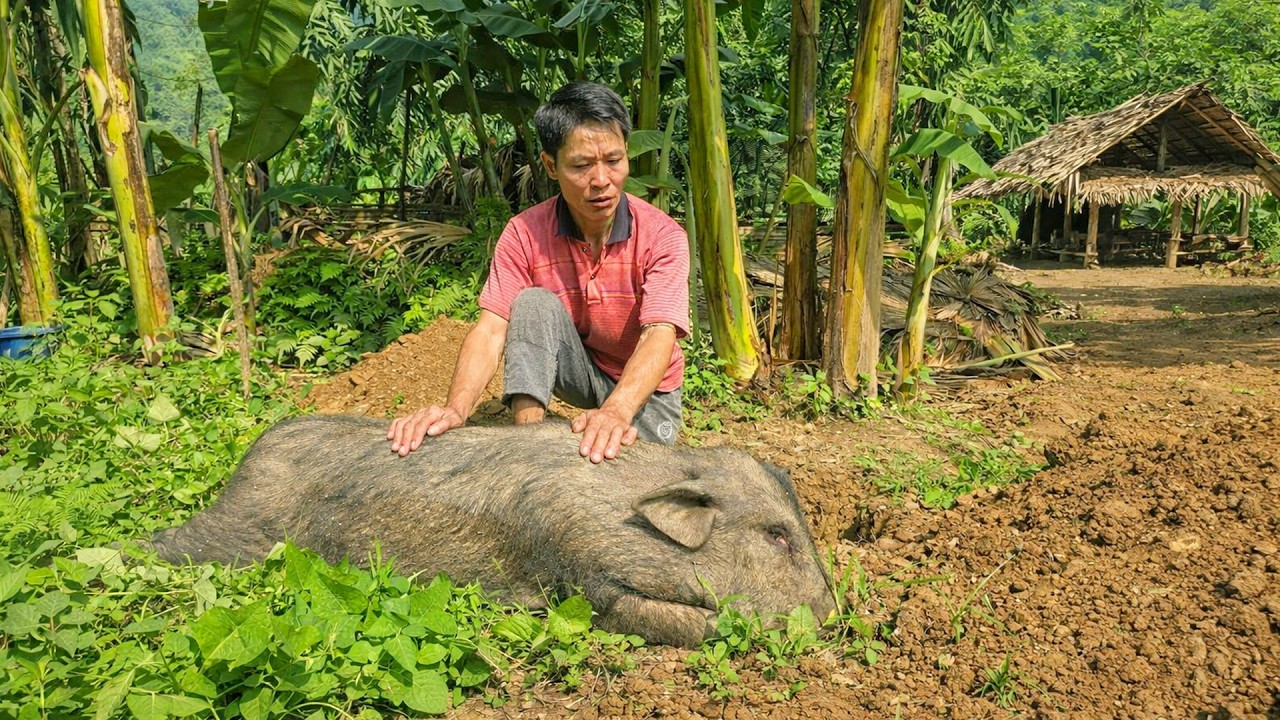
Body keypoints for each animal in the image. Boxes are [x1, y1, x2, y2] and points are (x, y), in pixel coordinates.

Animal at [150, 415, 834, 647]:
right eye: (778, 535)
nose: (835, 612)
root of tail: (251, 456)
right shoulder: (585, 571)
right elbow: (669, 618)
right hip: (242, 530)